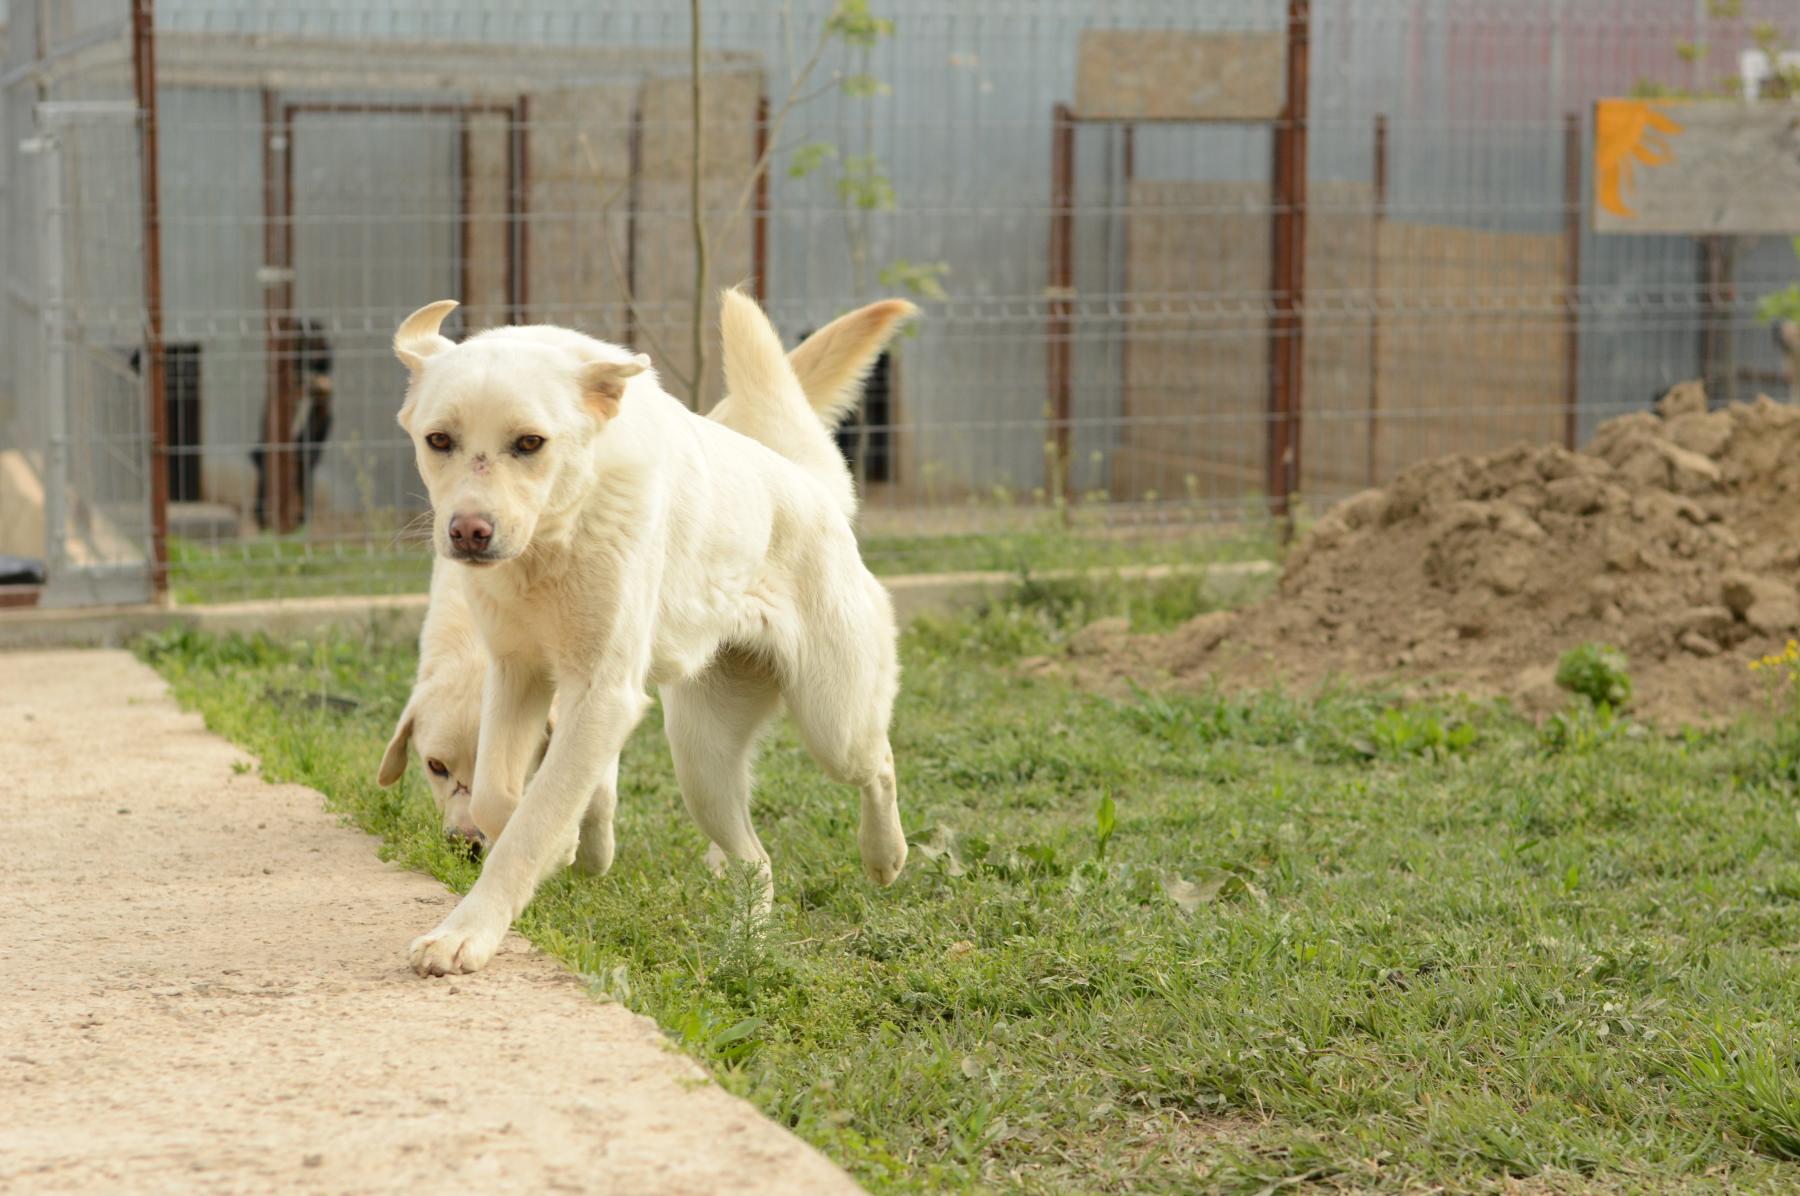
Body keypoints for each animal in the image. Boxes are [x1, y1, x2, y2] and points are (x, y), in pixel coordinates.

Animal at [390, 291, 915, 975]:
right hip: (700, 760)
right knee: (757, 860)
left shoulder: (601, 693)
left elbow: (531, 822)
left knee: (879, 764)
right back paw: (743, 945)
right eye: (439, 440)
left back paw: (884, 858)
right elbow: (501, 802)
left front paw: (467, 933)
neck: (551, 546)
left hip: (834, 724)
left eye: (530, 442)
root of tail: (812, 486)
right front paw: (568, 847)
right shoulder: (516, 674)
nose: (469, 531)